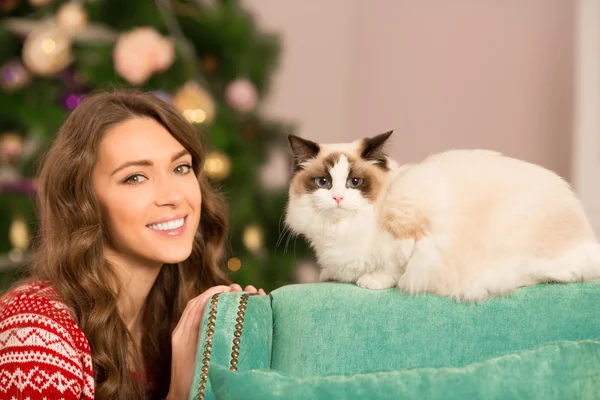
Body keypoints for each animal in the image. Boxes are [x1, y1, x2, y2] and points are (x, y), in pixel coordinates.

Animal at [284, 131, 600, 300]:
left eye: (355, 182)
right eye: (323, 182)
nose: (338, 198)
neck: (340, 230)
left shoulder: (411, 236)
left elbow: (393, 268)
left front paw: (370, 281)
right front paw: (330, 274)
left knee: (561, 274)